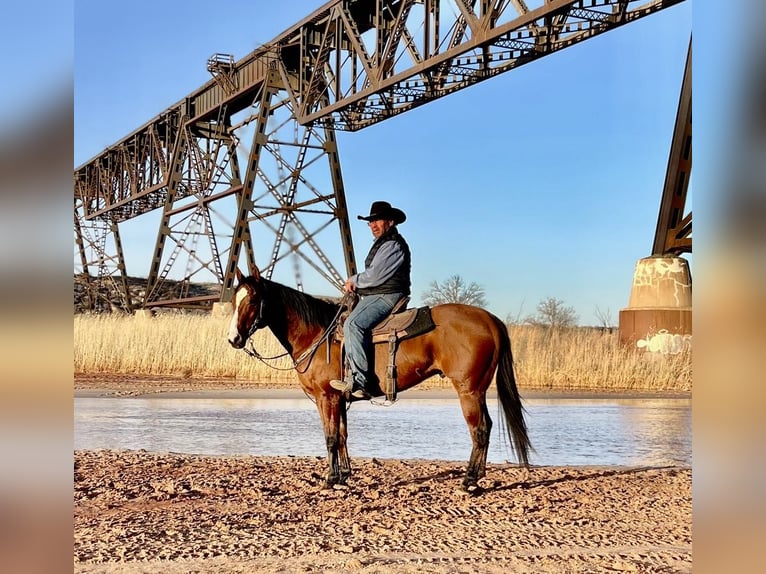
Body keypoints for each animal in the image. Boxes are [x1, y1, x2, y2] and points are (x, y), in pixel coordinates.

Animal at [225, 268, 532, 492]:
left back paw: (469, 481)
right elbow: (342, 436)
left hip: (468, 390)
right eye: (234, 300)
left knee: (478, 430)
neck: (318, 334)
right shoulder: (339, 399)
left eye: (252, 299)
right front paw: (344, 475)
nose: (233, 339)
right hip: (478, 390)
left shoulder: (327, 397)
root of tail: (491, 320)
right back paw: (477, 475)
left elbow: (330, 437)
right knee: (487, 427)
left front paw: (330, 480)